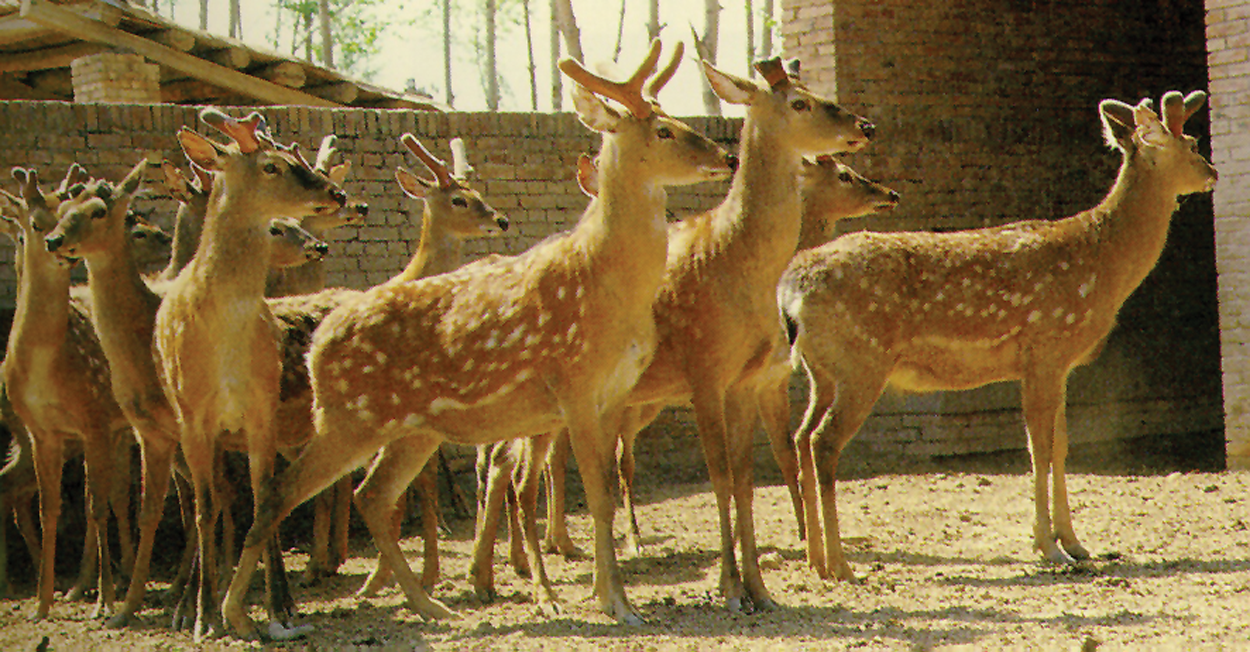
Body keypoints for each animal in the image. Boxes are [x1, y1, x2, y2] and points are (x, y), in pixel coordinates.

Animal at [152, 108, 347, 639]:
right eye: (271, 166)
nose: (336, 193)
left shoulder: (261, 411)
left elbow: (264, 504)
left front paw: (278, 609)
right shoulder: (194, 418)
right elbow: (204, 511)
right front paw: (204, 616)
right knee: (211, 505)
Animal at [221, 38, 735, 632]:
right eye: (664, 131)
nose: (727, 157)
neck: (605, 281)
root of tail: (317, 344)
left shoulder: (612, 393)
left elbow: (604, 490)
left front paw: (609, 595)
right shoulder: (575, 383)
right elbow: (598, 495)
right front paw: (617, 603)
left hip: (412, 427)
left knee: (372, 494)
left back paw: (430, 604)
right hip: (348, 417)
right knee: (280, 492)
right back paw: (241, 616)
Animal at [780, 89, 1220, 579]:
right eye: (1187, 143)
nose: (1211, 171)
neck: (1102, 264)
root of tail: (790, 288)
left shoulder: (1059, 364)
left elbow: (1061, 447)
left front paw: (1076, 543)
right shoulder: (1045, 345)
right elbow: (1039, 448)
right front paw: (1048, 547)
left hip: (823, 370)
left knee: (801, 436)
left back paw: (815, 558)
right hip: (862, 361)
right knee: (823, 442)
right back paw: (839, 564)